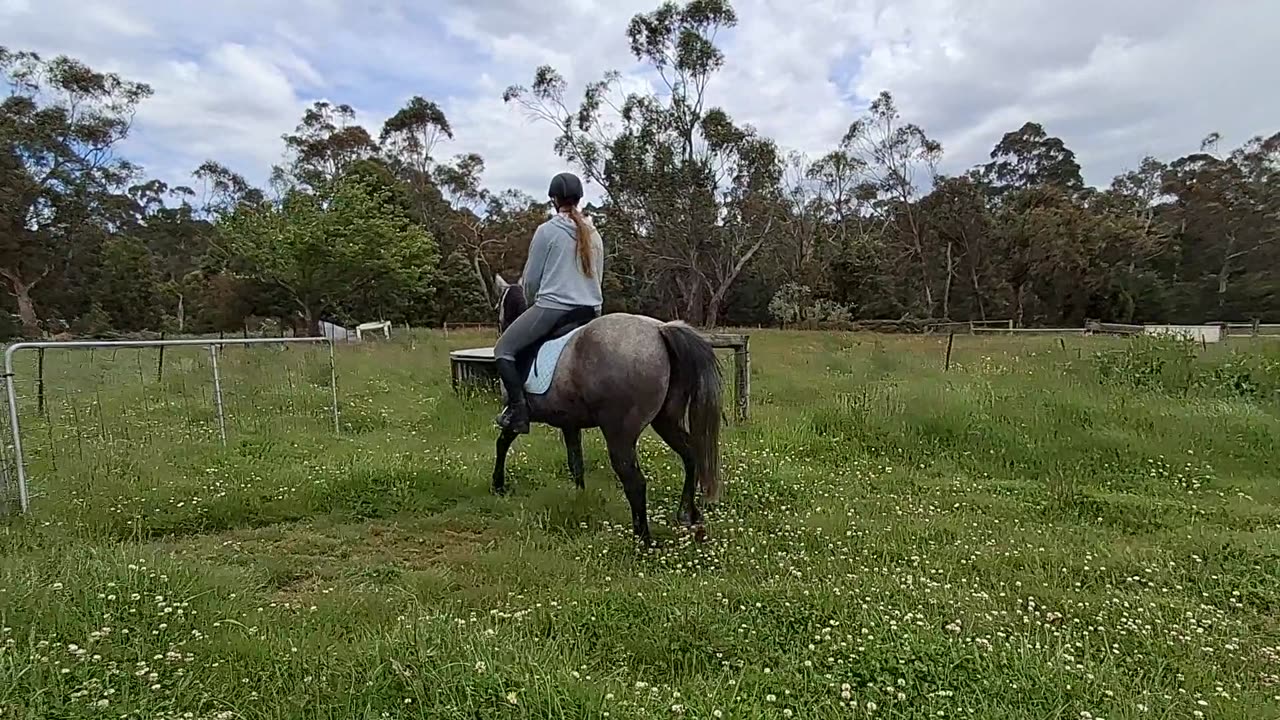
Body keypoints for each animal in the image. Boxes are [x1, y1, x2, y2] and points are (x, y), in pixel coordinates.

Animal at [488, 275, 727, 543]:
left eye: (498, 307)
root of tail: (659, 330)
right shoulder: (569, 423)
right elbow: (575, 462)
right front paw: (579, 497)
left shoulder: (517, 415)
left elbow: (502, 443)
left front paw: (498, 485)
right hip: (666, 420)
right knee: (690, 455)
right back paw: (688, 514)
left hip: (619, 433)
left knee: (635, 481)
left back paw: (643, 540)